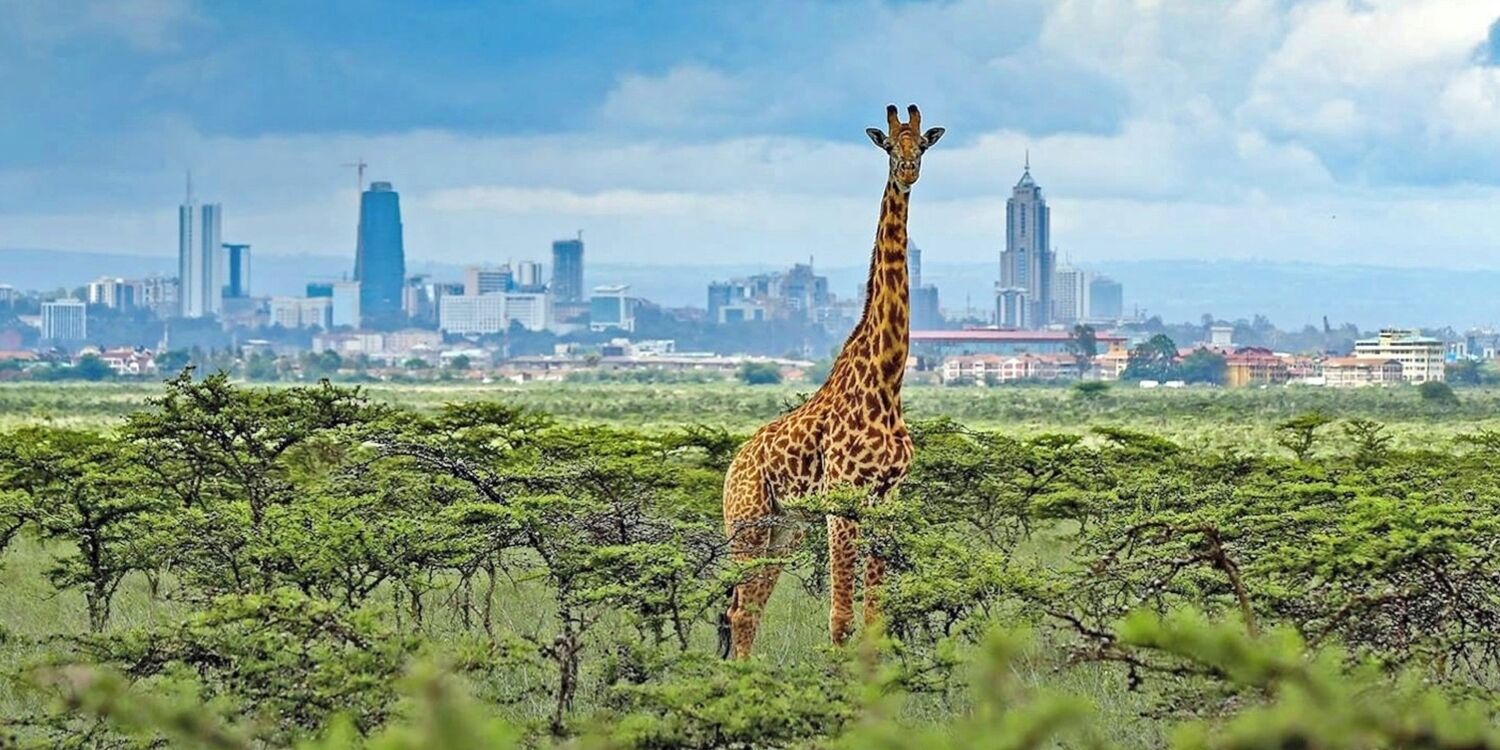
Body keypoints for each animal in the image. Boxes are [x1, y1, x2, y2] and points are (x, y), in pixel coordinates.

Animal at [721, 104, 944, 659]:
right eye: (888, 144)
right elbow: (840, 620)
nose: (908, 171)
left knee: (749, 609)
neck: (886, 380)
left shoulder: (886, 501)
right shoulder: (842, 499)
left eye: (922, 144)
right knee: (737, 609)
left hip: (785, 528)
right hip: (747, 523)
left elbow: (873, 619)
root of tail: (733, 466)